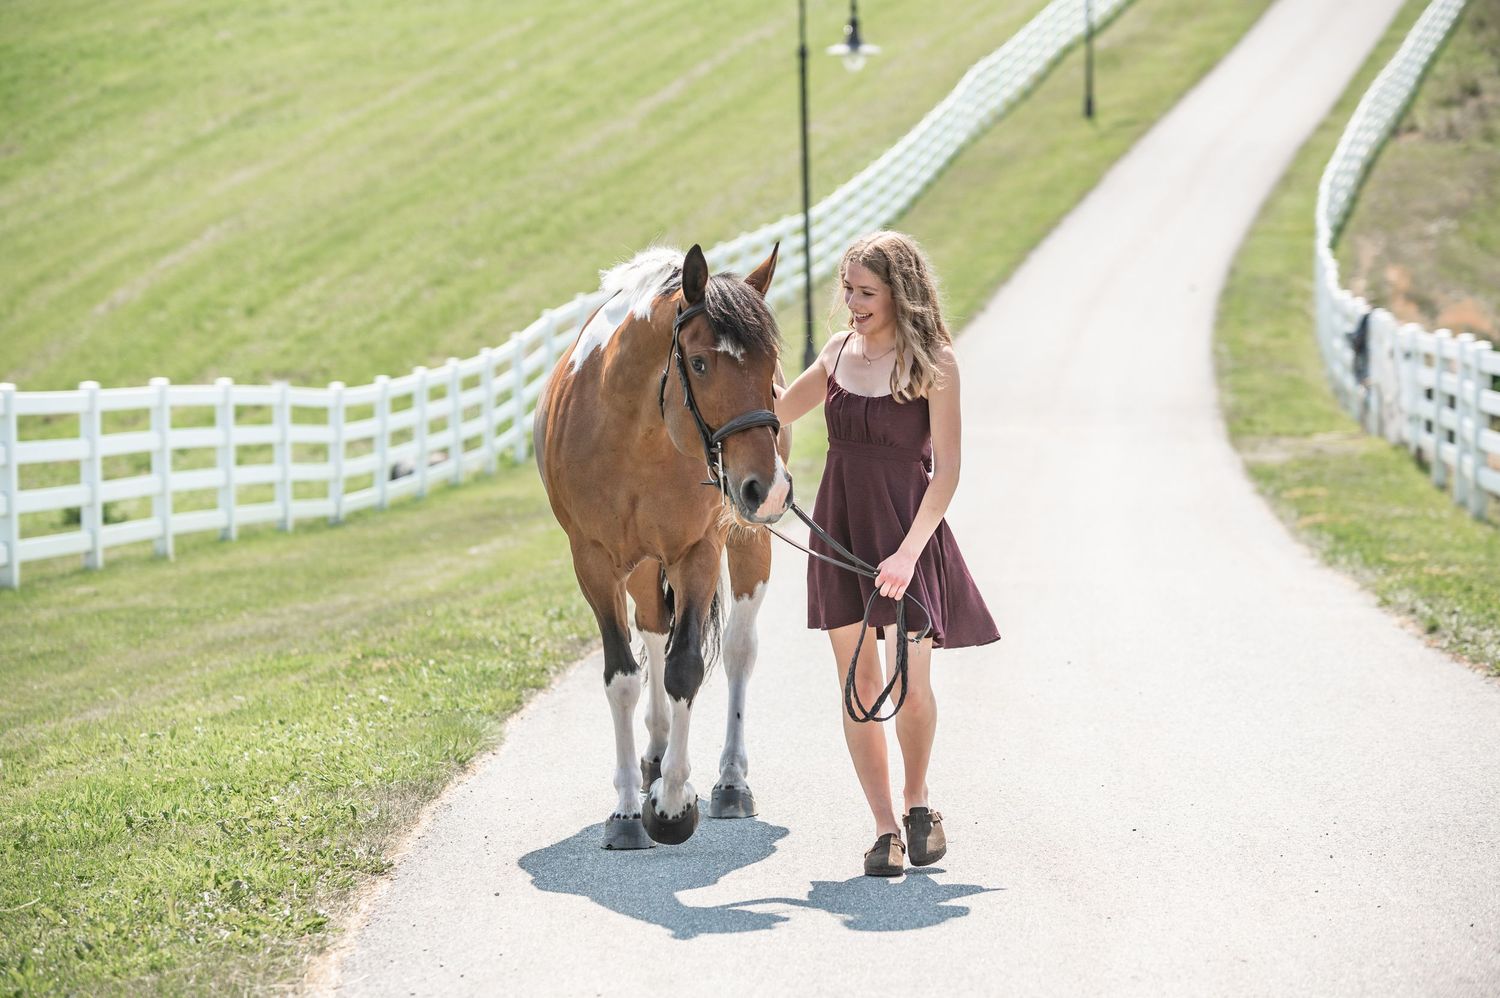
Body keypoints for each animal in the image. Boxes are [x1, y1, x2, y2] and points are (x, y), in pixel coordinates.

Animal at [534, 243, 792, 848]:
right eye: (698, 364)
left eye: (769, 366)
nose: (766, 488)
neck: (633, 433)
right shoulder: (595, 562)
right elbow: (624, 676)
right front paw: (630, 808)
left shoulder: (697, 551)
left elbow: (686, 668)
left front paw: (672, 802)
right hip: (640, 565)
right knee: (652, 628)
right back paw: (653, 750)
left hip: (747, 540)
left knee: (738, 650)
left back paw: (728, 781)